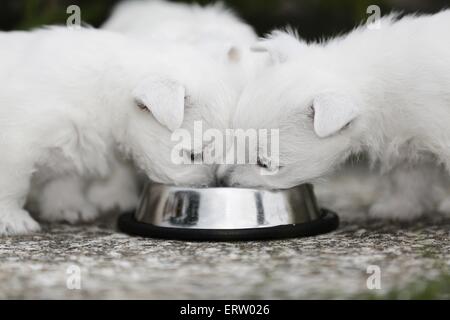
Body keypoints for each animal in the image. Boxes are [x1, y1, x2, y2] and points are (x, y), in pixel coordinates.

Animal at [220, 10, 450, 220]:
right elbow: (407, 177)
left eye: (265, 164)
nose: (221, 180)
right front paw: (399, 207)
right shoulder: (407, 143)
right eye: (236, 138)